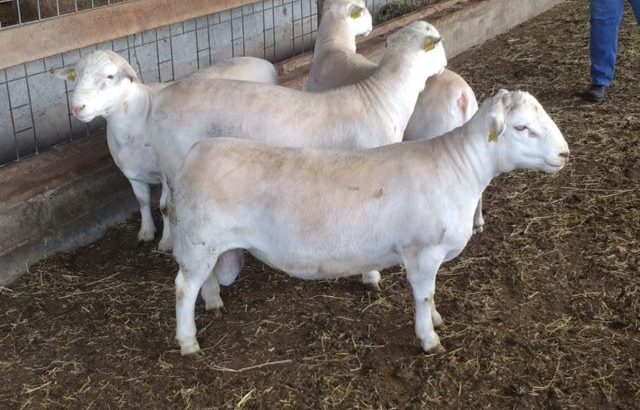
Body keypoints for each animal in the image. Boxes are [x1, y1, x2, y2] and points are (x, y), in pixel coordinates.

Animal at [53, 52, 278, 251]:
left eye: (110, 76)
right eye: (76, 76)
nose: (77, 107)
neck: (139, 117)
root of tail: (261, 61)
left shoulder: (166, 173)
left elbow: (165, 207)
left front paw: (167, 241)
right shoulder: (132, 174)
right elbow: (142, 201)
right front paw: (146, 232)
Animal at [171, 89, 570, 356]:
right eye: (521, 127)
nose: (564, 153)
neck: (459, 167)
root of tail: (195, 152)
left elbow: (432, 294)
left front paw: (436, 320)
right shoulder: (423, 251)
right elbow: (424, 295)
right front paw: (429, 339)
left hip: (206, 243)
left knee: (203, 279)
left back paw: (214, 303)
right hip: (199, 240)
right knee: (183, 287)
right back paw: (188, 341)